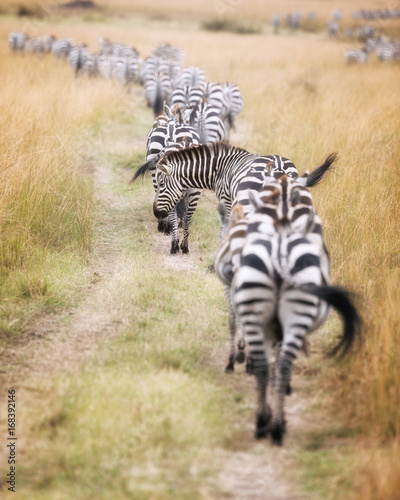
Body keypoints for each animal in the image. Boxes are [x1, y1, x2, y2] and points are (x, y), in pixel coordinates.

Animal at [134, 143, 300, 256]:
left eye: (161, 183)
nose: (156, 213)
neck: (220, 169)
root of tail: (279, 167)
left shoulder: (227, 201)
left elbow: (224, 229)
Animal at [230, 202, 360, 442]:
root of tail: (279, 254)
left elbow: (268, 363)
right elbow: (278, 363)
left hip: (255, 309)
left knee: (263, 365)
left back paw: (262, 422)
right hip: (297, 317)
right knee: (283, 365)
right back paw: (278, 427)